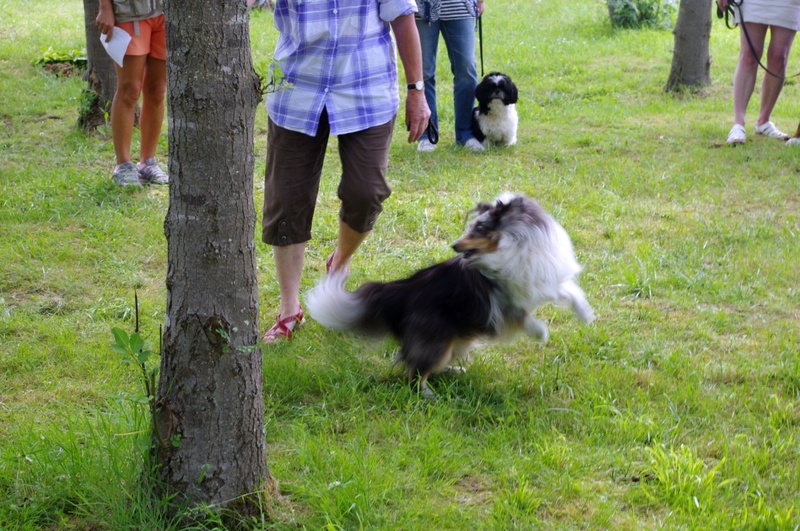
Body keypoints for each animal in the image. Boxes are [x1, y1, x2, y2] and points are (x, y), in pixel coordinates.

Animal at [306, 193, 592, 396]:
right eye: (472, 226)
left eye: (480, 228)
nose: (454, 245)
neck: (510, 247)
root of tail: (402, 290)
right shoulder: (502, 299)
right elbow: (521, 316)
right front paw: (540, 333)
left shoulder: (539, 278)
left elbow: (567, 291)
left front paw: (587, 315)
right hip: (437, 341)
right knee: (415, 372)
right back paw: (427, 393)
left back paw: (455, 370)